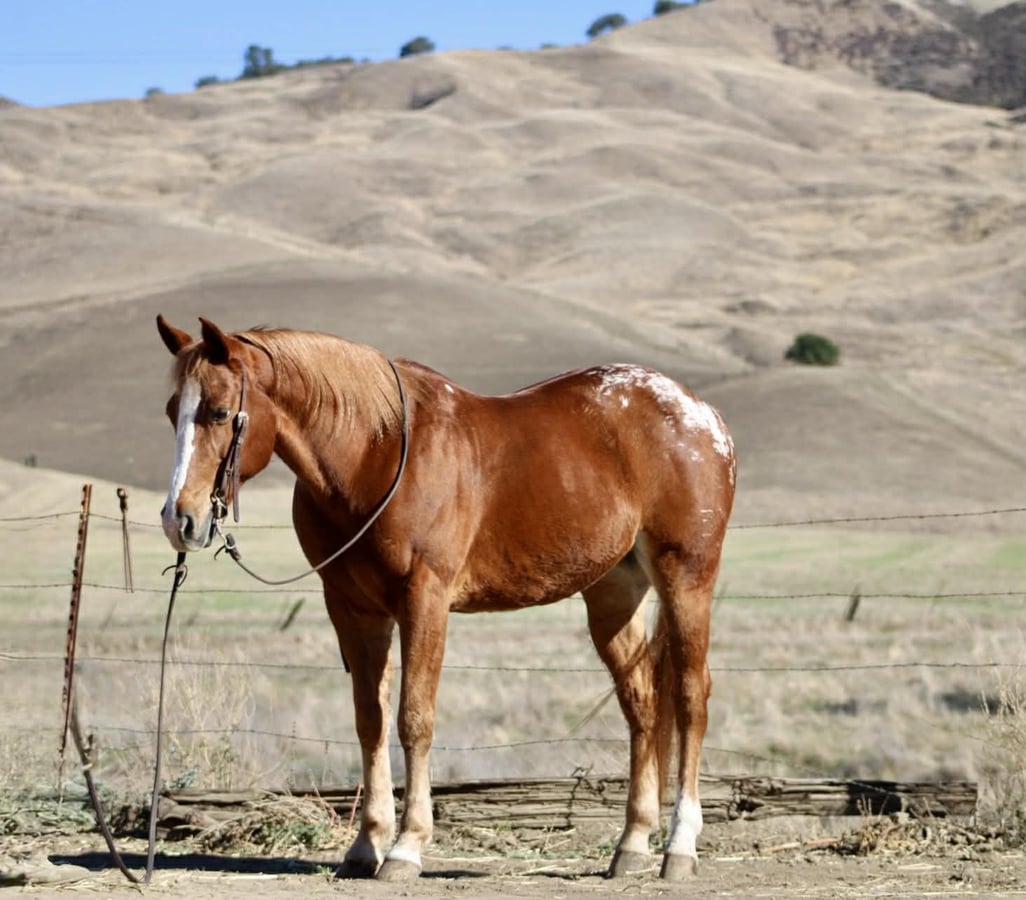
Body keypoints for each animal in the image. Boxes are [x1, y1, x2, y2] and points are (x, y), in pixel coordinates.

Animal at [156, 315, 736, 882]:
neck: (374, 452)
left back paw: (679, 846)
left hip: (686, 577)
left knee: (690, 696)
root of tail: (701, 415)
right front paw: (366, 845)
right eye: (170, 411)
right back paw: (632, 843)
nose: (178, 519)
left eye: (219, 411)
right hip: (614, 594)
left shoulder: (424, 600)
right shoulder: (352, 609)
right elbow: (370, 720)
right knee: (642, 703)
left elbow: (414, 719)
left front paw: (406, 847)